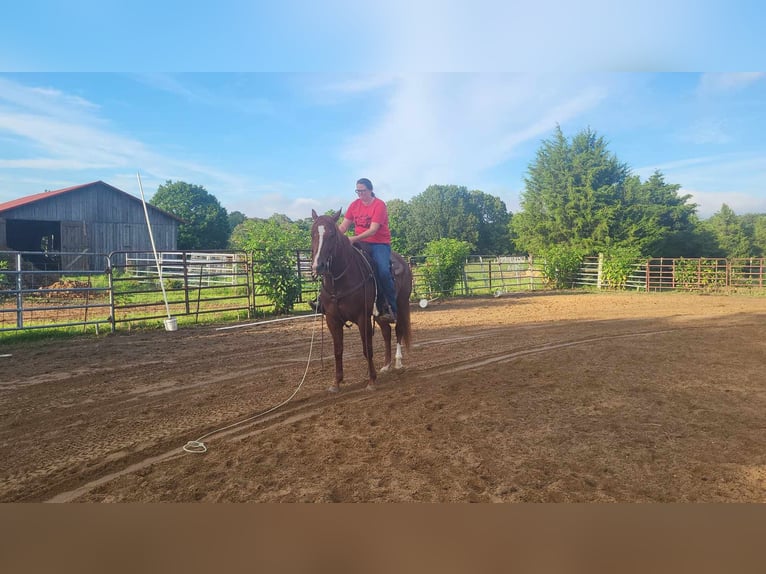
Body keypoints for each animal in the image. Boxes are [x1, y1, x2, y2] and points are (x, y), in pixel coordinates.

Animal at [310, 209, 414, 394]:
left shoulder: (362, 317)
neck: (339, 282)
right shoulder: (332, 320)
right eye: (312, 233)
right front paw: (336, 382)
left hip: (401, 304)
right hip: (379, 314)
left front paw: (371, 380)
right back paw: (386, 365)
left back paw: (398, 362)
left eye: (332, 234)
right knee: (386, 332)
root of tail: (403, 261)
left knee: (399, 330)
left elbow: (367, 349)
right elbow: (338, 350)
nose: (318, 266)